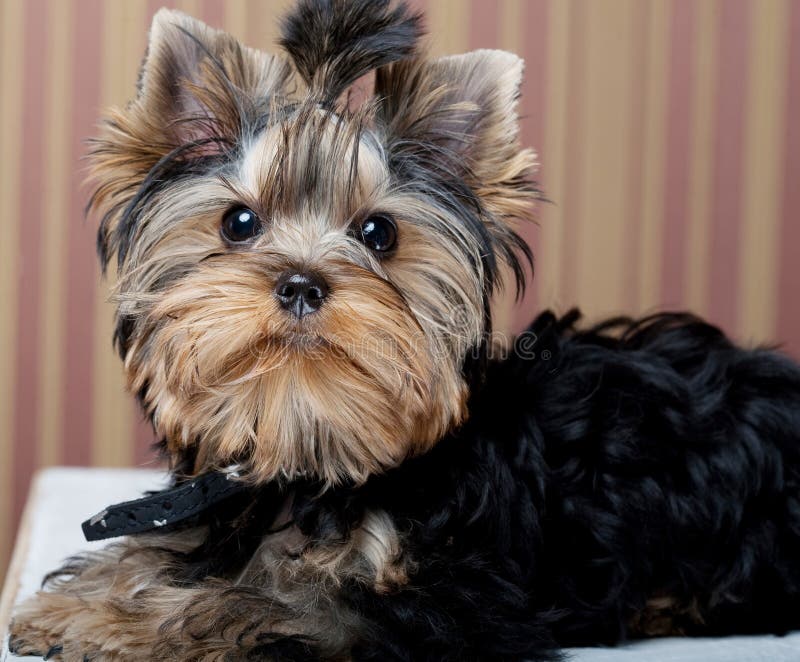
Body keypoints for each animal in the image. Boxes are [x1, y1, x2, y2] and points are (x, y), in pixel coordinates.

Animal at [6, 1, 800, 662]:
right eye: (238, 222)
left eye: (378, 232)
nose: (301, 282)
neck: (308, 442)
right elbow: (177, 552)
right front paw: (86, 596)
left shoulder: (454, 599)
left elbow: (268, 600)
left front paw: (118, 619)